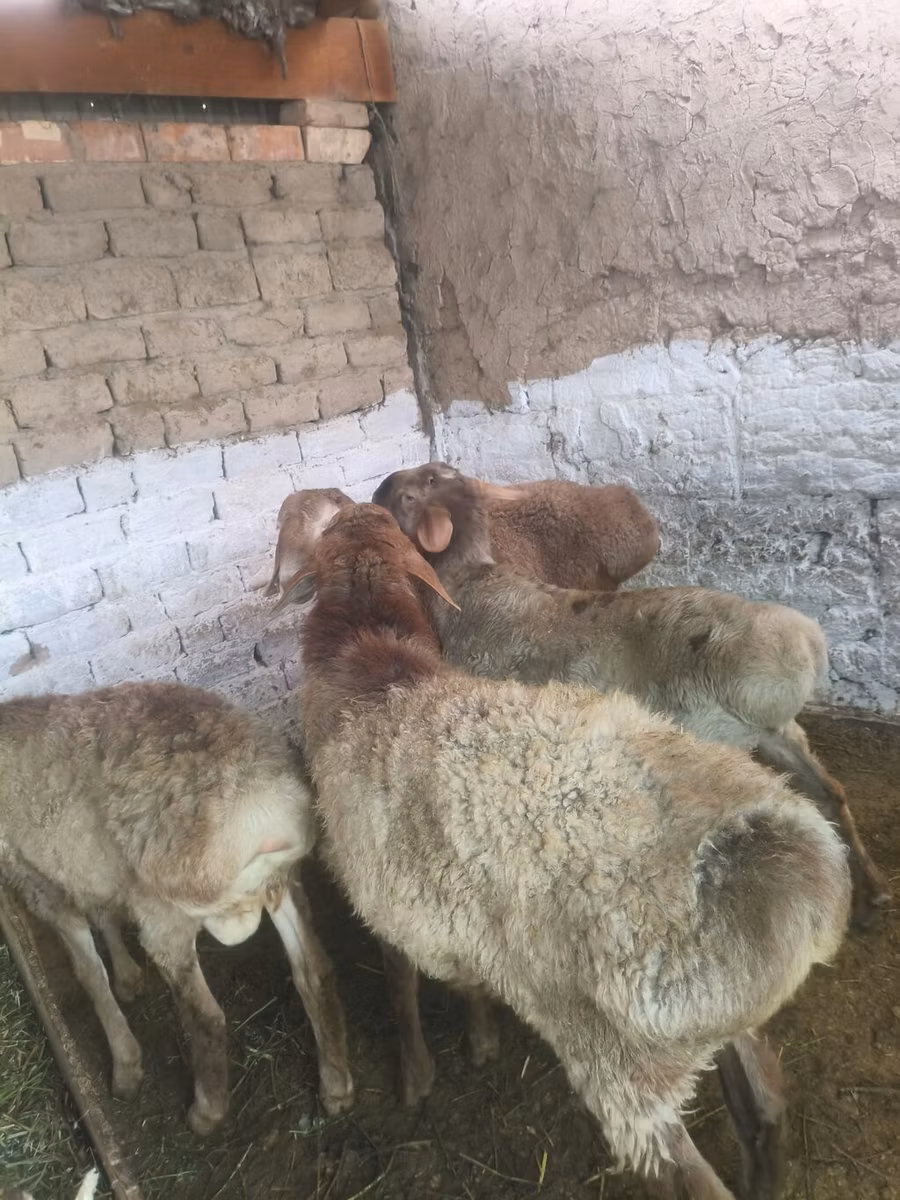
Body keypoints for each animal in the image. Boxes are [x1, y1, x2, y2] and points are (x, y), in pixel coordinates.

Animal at [0, 682, 354, 1135]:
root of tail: (262, 807)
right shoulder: (94, 871)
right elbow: (105, 915)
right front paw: (128, 977)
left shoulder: (41, 885)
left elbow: (90, 976)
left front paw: (125, 1065)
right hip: (282, 884)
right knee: (315, 974)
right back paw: (337, 1086)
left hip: (166, 916)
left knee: (207, 1017)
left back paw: (206, 1112)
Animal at [278, 502, 851, 1200]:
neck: (370, 659)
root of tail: (781, 864)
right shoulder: (442, 901)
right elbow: (462, 977)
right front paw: (480, 1039)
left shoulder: (379, 888)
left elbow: (399, 981)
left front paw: (415, 1075)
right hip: (717, 1019)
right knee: (764, 1104)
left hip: (621, 1060)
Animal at [370, 463, 890, 927]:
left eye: (411, 492)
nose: (377, 490)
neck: (466, 582)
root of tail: (801, 644)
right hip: (780, 732)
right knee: (831, 792)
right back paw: (871, 893)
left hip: (719, 740)